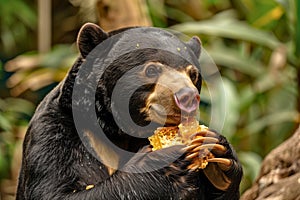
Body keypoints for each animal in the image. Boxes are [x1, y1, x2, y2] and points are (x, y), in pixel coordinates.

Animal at [15, 22, 241, 199]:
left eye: (193, 74)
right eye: (152, 69)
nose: (187, 97)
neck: (121, 131)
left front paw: (220, 155)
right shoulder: (55, 135)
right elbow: (54, 191)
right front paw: (162, 164)